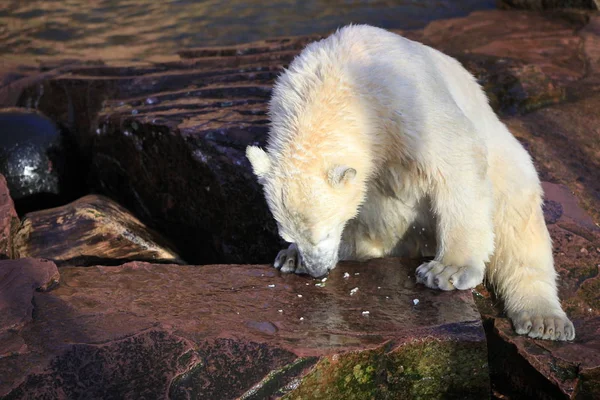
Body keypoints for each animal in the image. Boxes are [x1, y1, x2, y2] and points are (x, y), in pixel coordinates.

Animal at [246, 24, 576, 340]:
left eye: (325, 232)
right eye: (288, 233)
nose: (316, 270)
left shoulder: (404, 100)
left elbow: (457, 158)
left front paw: (447, 270)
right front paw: (292, 255)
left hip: (509, 167)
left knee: (517, 230)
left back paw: (544, 320)